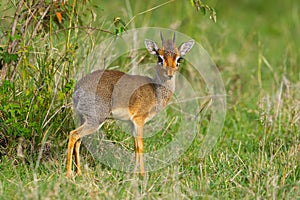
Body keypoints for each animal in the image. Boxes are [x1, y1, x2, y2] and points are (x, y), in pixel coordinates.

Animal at [66, 32, 195, 177]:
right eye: (160, 57)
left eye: (179, 59)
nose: (170, 73)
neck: (155, 90)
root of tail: (78, 88)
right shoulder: (139, 120)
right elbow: (141, 147)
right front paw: (143, 175)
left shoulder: (131, 123)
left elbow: (135, 147)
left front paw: (134, 173)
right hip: (96, 120)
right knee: (73, 134)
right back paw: (68, 174)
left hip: (84, 119)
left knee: (78, 140)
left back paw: (79, 173)